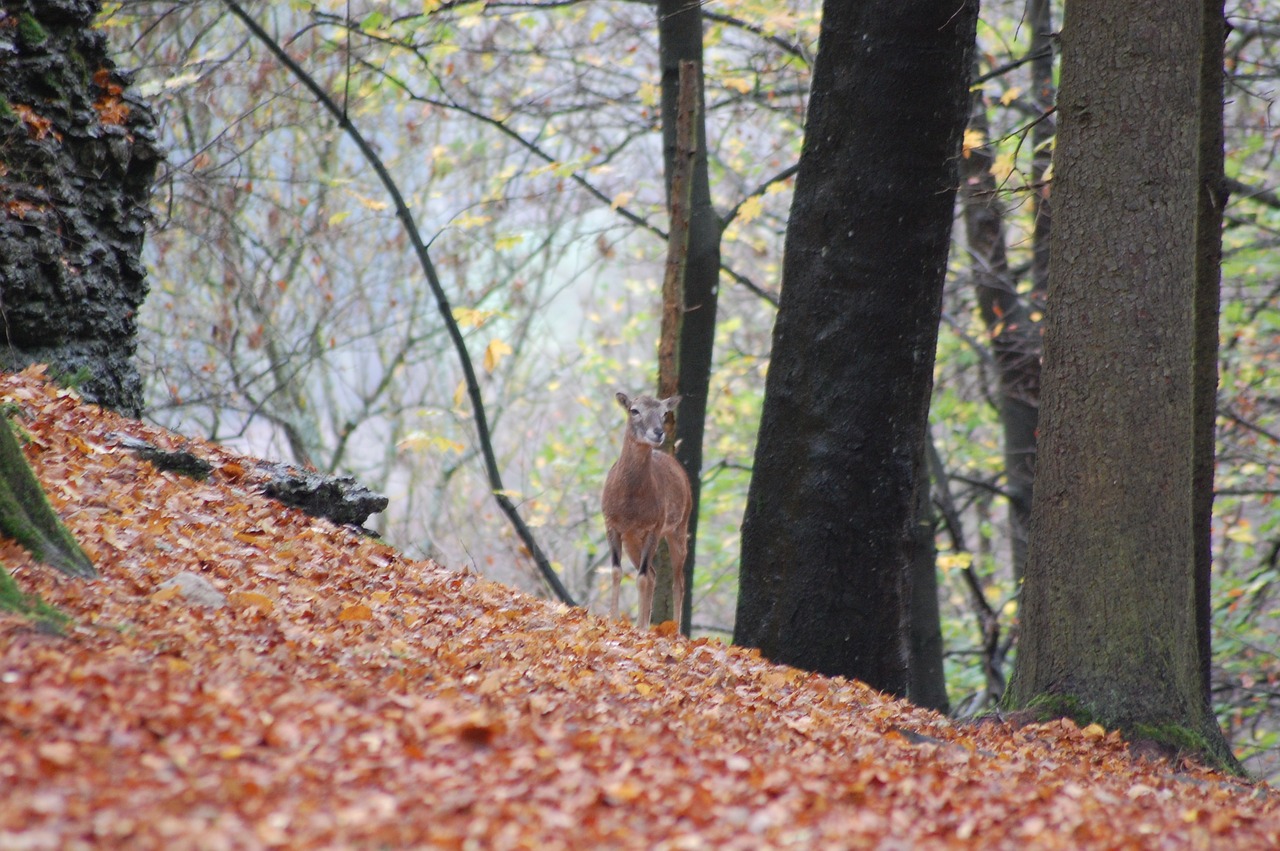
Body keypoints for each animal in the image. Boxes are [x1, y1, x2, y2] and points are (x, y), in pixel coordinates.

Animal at [599, 394, 691, 629]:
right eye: (634, 410)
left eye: (664, 412)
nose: (658, 432)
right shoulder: (611, 524)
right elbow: (617, 571)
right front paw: (613, 620)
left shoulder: (654, 527)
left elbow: (640, 578)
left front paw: (639, 628)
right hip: (633, 541)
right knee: (653, 573)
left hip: (679, 527)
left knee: (678, 581)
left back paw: (674, 630)